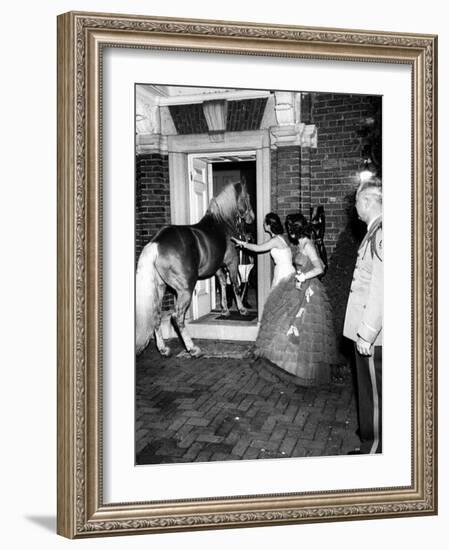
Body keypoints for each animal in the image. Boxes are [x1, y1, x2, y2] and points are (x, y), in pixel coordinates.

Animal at [136, 183, 256, 360]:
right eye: (247, 196)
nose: (252, 217)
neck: (221, 223)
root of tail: (156, 244)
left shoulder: (218, 268)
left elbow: (222, 284)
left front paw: (225, 310)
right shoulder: (232, 262)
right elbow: (235, 285)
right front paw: (241, 309)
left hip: (160, 288)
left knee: (156, 316)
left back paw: (164, 349)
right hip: (185, 289)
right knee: (177, 317)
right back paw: (192, 348)